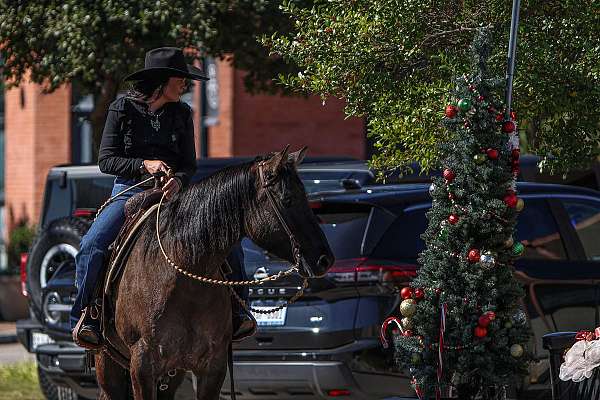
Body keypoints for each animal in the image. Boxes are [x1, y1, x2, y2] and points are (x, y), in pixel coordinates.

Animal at [96, 148, 336, 400]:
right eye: (288, 200)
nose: (325, 259)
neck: (184, 280)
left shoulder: (213, 367)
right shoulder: (142, 366)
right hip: (108, 364)